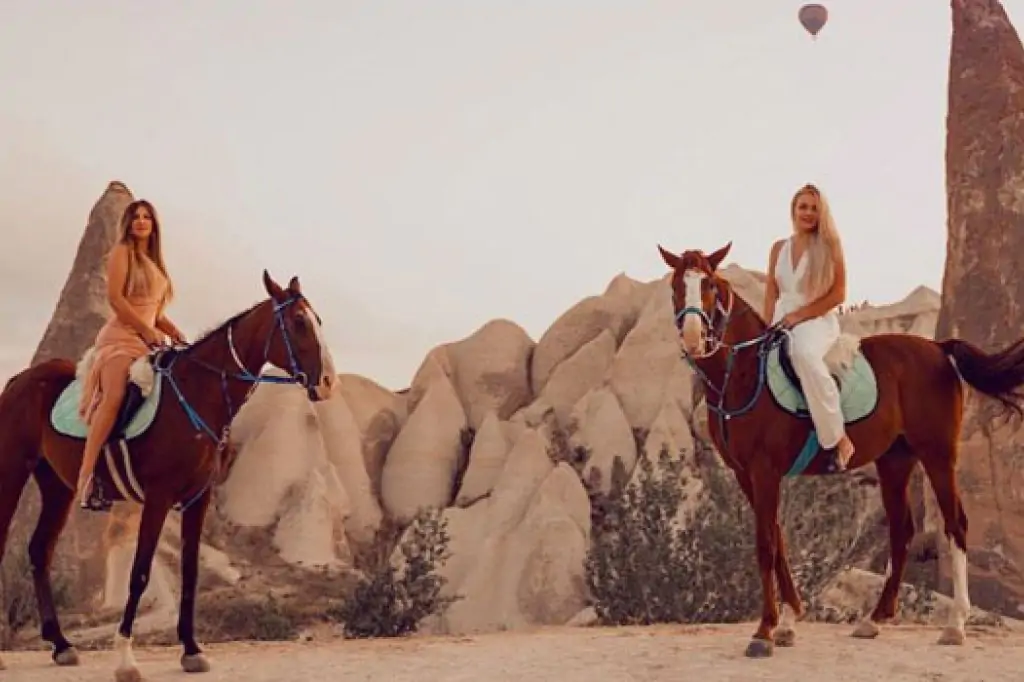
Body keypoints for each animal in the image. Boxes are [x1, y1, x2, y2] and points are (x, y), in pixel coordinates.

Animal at [0, 270, 335, 679]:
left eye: (317, 320)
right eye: (299, 322)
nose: (328, 382)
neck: (196, 394)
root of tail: (18, 379)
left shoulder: (197, 498)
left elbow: (190, 573)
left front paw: (191, 649)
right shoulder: (158, 498)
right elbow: (140, 572)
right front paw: (126, 659)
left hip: (58, 486)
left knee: (39, 550)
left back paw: (61, 644)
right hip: (11, 471)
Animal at [655, 241, 1024, 655]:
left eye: (710, 286)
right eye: (675, 285)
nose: (693, 337)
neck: (745, 374)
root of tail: (938, 348)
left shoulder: (765, 471)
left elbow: (766, 545)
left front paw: (765, 630)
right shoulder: (745, 474)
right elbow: (779, 539)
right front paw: (788, 621)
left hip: (938, 456)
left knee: (955, 523)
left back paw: (956, 624)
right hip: (895, 461)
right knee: (902, 530)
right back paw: (874, 619)